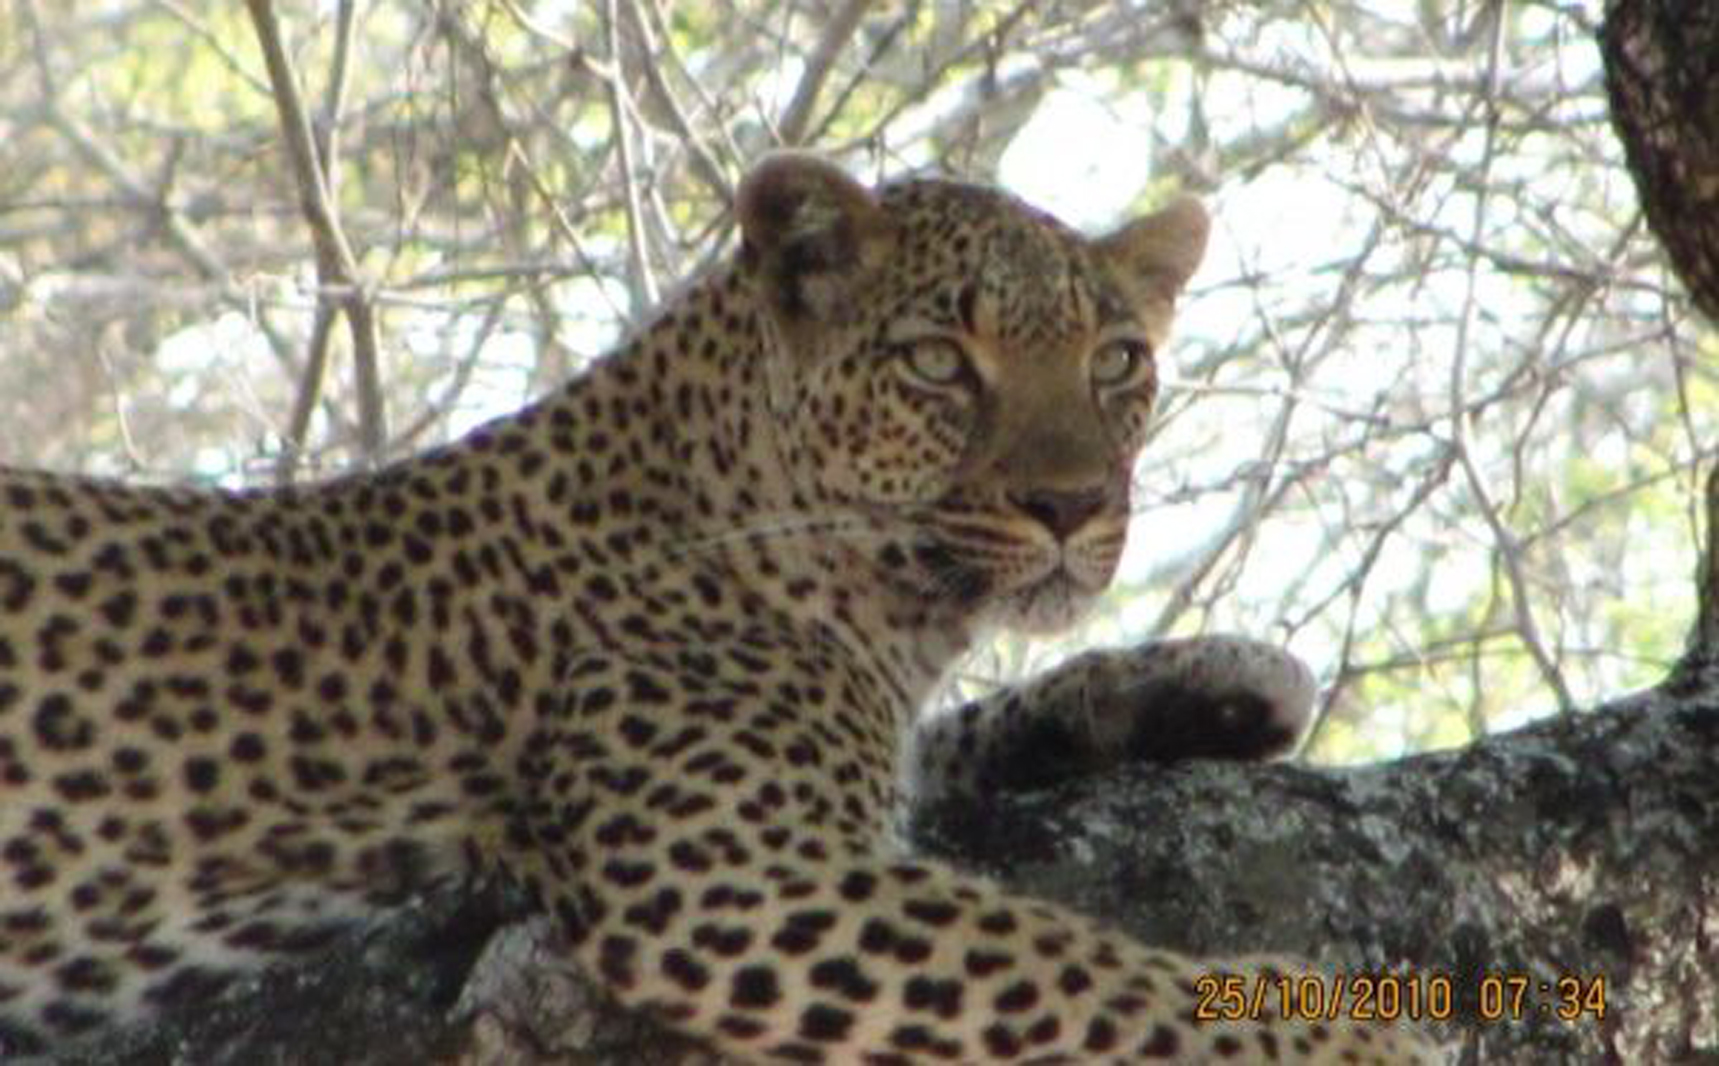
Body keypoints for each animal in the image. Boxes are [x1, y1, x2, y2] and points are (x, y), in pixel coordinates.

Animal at [0, 153, 1441, 1063]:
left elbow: (967, 739)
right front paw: (1358, 1042)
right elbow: (1087, 971)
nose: (1069, 503)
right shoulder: (722, 868)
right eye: (939, 362)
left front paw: (1213, 678)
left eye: (1117, 363)